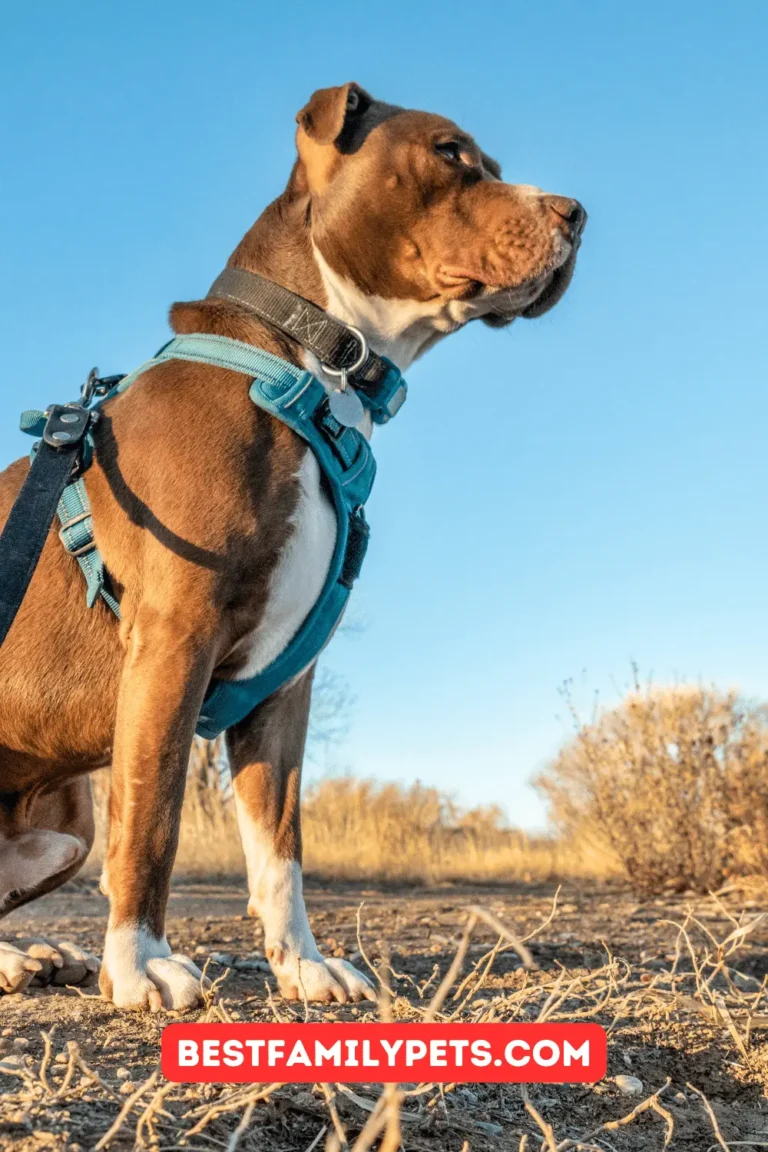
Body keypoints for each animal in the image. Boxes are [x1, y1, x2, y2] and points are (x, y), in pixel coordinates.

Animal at [0, 81, 584, 1009]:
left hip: (65, 829)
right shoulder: (175, 642)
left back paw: (25, 956)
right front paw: (140, 964)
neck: (312, 367)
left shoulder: (283, 686)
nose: (577, 214)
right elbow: (154, 815)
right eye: (450, 152)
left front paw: (302, 965)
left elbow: (281, 846)